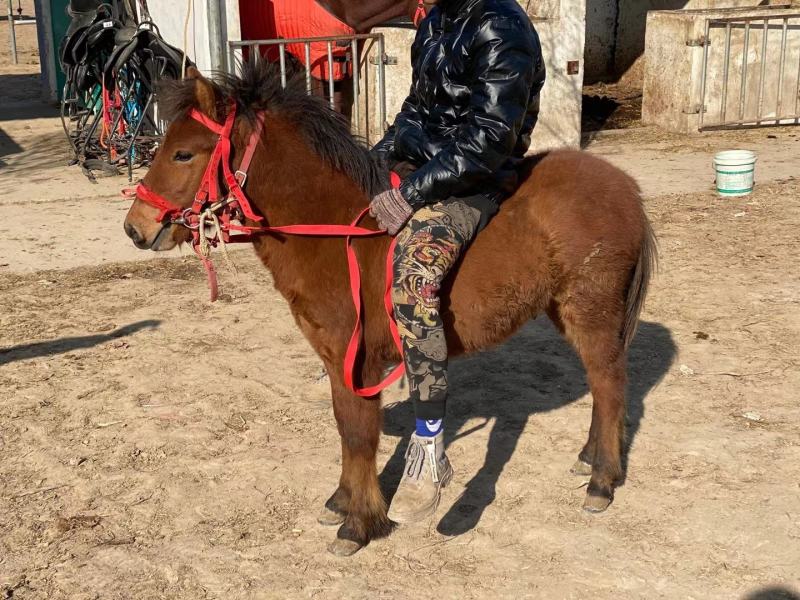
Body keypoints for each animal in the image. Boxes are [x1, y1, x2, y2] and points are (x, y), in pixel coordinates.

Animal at [123, 61, 656, 556]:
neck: (334, 230)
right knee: (600, 384)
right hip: (568, 313)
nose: (135, 227)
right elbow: (345, 424)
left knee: (610, 384)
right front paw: (341, 502)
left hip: (592, 313)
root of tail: (627, 188)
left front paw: (360, 524)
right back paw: (589, 460)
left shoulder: (356, 360)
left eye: (183, 153)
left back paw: (602, 481)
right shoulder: (336, 362)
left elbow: (359, 434)